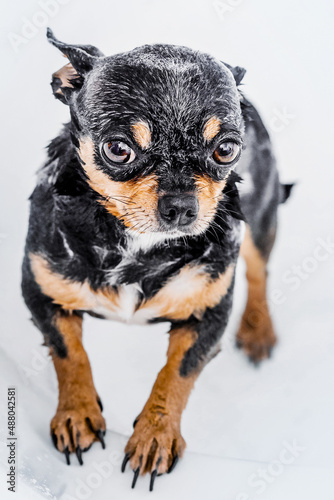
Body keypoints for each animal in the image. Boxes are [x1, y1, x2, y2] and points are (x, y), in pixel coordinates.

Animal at [21, 28, 292, 492]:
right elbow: (69, 353)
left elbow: (176, 376)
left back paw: (258, 330)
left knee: (259, 273)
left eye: (226, 150)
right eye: (118, 149)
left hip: (260, 218)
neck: (137, 246)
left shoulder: (207, 317)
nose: (181, 205)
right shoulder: (41, 293)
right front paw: (76, 414)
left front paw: (155, 436)